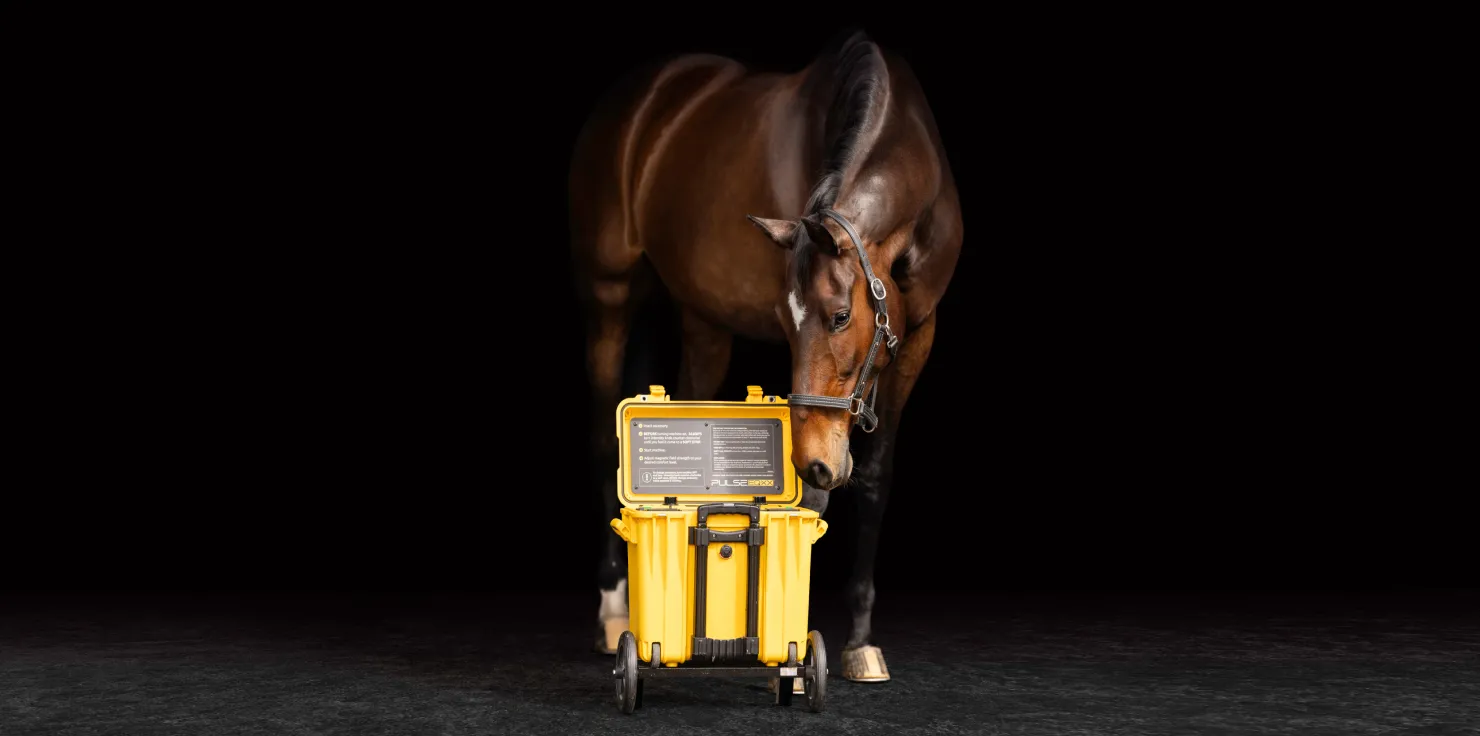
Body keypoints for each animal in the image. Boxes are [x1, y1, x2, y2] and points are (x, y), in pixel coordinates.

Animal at [569, 29, 962, 684]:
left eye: (840, 317)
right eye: (785, 320)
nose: (821, 461)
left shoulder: (919, 336)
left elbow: (875, 479)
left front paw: (860, 640)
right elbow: (815, 501)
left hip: (702, 320)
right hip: (607, 295)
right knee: (604, 439)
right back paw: (612, 609)